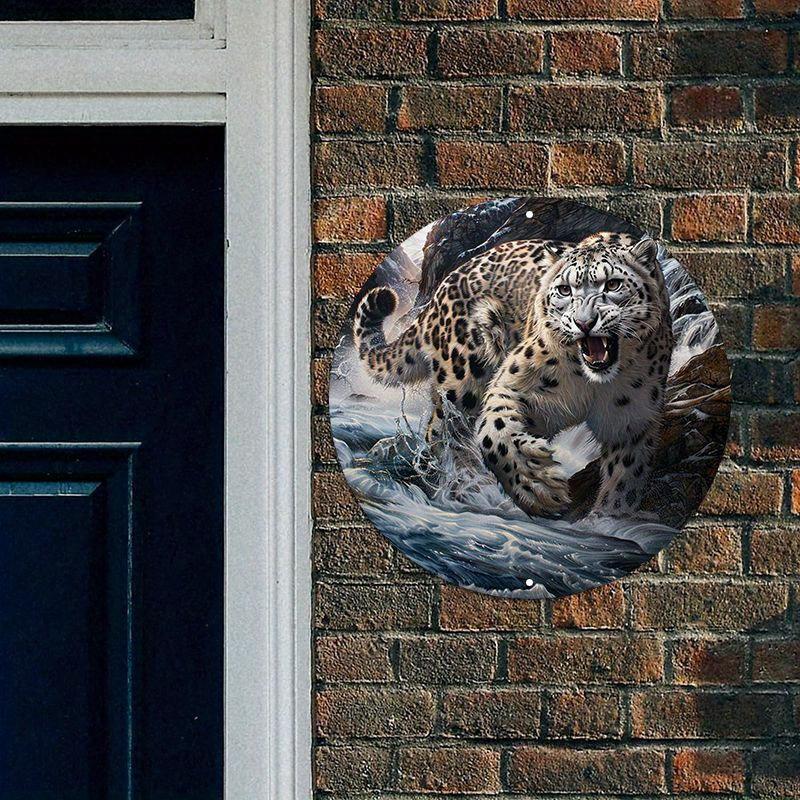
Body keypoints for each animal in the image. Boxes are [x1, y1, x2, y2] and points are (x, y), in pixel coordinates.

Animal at [353, 232, 673, 519]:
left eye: (613, 284)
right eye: (564, 290)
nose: (584, 322)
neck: (593, 384)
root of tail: (439, 292)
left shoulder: (630, 420)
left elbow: (626, 477)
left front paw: (608, 518)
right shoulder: (515, 384)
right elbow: (494, 431)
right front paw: (539, 488)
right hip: (463, 376)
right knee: (443, 431)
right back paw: (468, 486)